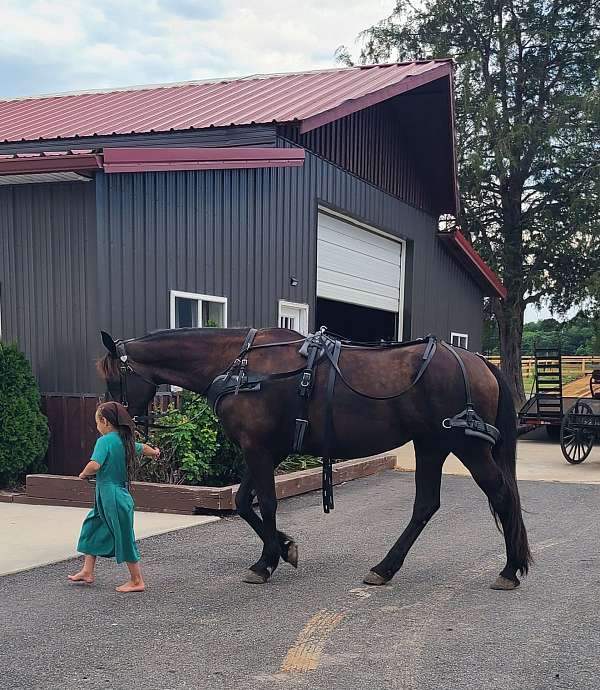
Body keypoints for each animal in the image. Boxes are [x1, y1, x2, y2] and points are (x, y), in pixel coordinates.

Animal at [97, 326, 528, 584]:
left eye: (114, 377)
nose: (116, 420)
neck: (242, 367)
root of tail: (477, 361)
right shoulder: (269, 449)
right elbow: (243, 502)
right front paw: (285, 548)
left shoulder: (258, 447)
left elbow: (266, 502)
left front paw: (267, 561)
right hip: (432, 444)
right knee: (426, 504)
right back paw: (385, 567)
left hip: (465, 446)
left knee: (500, 493)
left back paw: (509, 569)